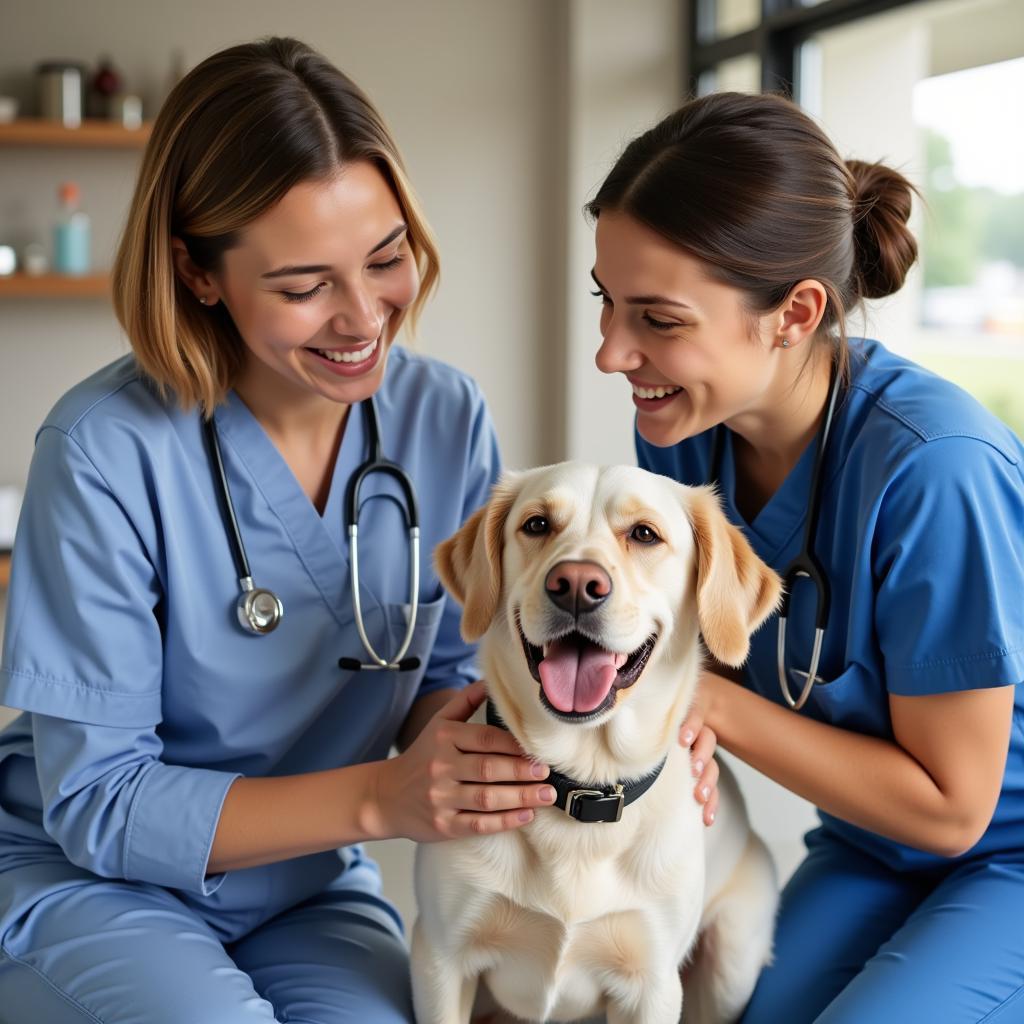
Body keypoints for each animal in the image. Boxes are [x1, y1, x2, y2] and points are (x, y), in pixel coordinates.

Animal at [411, 466, 778, 1024]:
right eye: (537, 524)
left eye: (644, 534)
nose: (577, 586)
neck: (582, 786)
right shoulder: (440, 959)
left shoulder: (651, 985)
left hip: (731, 960)